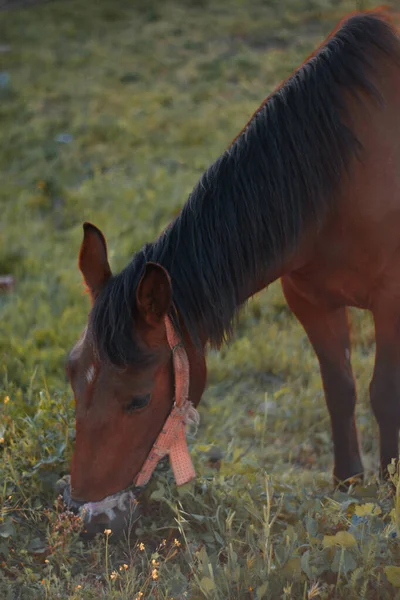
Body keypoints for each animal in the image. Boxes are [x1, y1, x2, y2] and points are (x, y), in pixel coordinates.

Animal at [65, 9, 400, 536]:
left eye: (138, 399)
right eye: (71, 373)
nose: (88, 512)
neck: (347, 174)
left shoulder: (391, 300)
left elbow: (383, 393)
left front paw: (387, 490)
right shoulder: (311, 301)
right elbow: (340, 389)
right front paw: (348, 485)